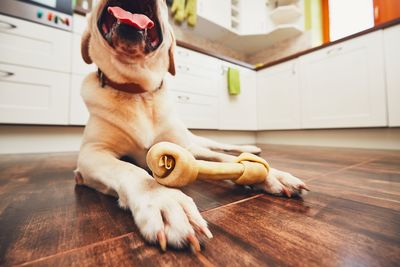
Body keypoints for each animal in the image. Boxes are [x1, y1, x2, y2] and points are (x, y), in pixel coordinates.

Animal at [74, 0, 306, 253]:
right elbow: (131, 171)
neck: (138, 92)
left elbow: (225, 160)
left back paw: (251, 148)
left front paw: (271, 175)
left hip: (196, 142)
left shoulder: (184, 148)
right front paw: (164, 200)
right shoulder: (92, 153)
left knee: (221, 147)